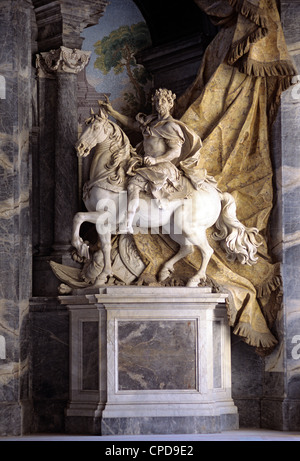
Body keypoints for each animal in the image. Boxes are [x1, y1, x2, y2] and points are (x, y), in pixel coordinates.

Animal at [72, 107, 260, 286]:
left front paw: (80, 246)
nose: (79, 147)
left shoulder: (106, 216)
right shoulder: (104, 223)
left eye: (95, 127)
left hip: (190, 227)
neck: (109, 175)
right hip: (174, 227)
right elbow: (104, 247)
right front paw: (102, 277)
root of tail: (217, 194)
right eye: (86, 124)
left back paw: (193, 280)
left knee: (207, 251)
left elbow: (78, 217)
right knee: (188, 249)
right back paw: (164, 272)